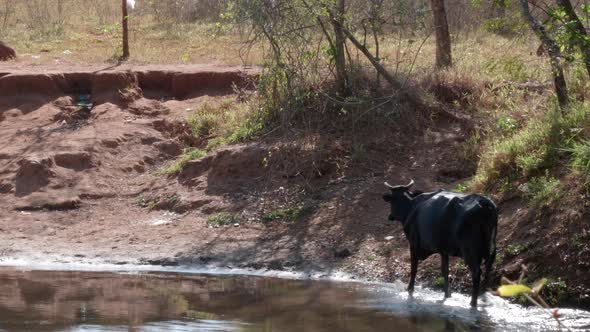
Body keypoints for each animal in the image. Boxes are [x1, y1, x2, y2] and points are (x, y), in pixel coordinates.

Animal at [384, 180, 500, 308]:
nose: (390, 216)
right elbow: (445, 271)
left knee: (477, 272)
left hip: (470, 250)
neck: (412, 206)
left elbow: (414, 268)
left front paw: (410, 289)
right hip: (491, 244)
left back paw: (473, 302)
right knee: (489, 264)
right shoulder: (444, 250)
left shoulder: (413, 244)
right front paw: (447, 294)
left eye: (392, 199)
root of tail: (484, 203)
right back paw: (482, 295)